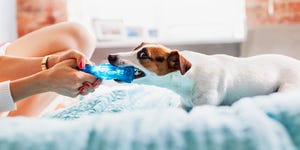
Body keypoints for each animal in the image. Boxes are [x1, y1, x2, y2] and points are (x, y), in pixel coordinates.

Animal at [108, 42, 300, 108]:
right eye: (135, 48)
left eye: (143, 55)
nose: (110, 56)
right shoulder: (183, 105)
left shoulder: (205, 106)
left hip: (287, 89)